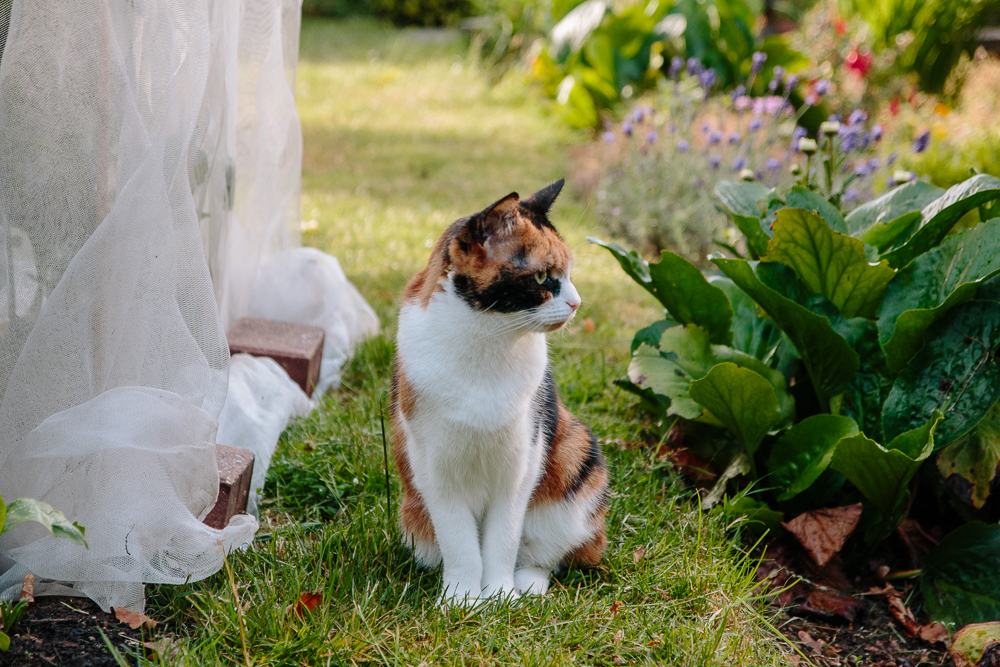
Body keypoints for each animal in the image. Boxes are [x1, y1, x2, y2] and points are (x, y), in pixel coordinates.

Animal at [390, 179, 608, 604]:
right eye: (542, 278)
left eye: (569, 272)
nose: (576, 303)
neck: (488, 343)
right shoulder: (434, 471)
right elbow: (460, 545)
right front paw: (461, 600)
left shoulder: (521, 465)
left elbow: (502, 540)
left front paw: (499, 599)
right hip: (414, 514)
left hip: (575, 456)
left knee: (541, 554)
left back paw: (528, 586)